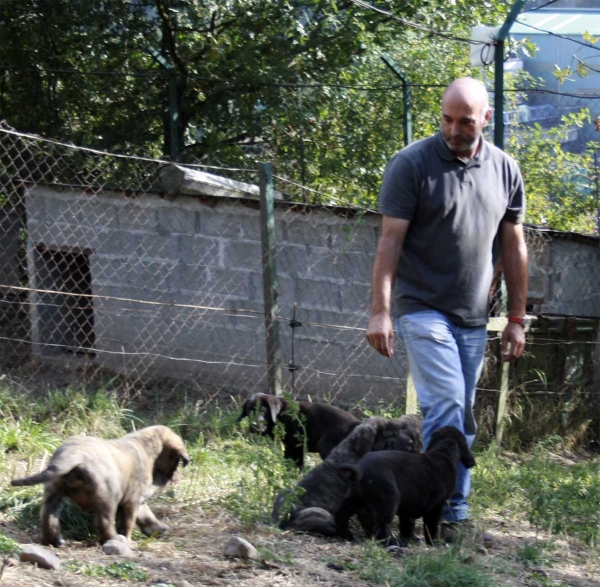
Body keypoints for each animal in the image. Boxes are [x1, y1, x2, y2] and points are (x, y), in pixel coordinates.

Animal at [12, 428, 190, 548]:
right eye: (177, 461)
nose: (177, 477)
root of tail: (71, 455)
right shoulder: (131, 501)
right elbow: (127, 523)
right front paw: (129, 540)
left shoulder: (136, 500)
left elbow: (146, 515)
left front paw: (158, 528)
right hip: (108, 498)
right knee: (103, 522)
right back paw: (114, 539)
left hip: (53, 494)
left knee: (48, 517)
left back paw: (55, 541)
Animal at [272, 414, 422, 536]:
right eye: (391, 434)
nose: (411, 442)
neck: (355, 451)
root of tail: (283, 520)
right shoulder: (365, 502)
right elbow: (372, 520)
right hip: (319, 512)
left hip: (284, 492)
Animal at [332, 428, 474, 548]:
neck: (443, 453)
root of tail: (361, 469)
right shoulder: (437, 506)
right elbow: (431, 525)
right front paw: (433, 543)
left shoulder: (410, 504)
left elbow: (407, 525)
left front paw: (408, 539)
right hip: (389, 501)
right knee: (382, 526)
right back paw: (392, 544)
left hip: (353, 497)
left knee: (341, 514)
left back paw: (346, 535)